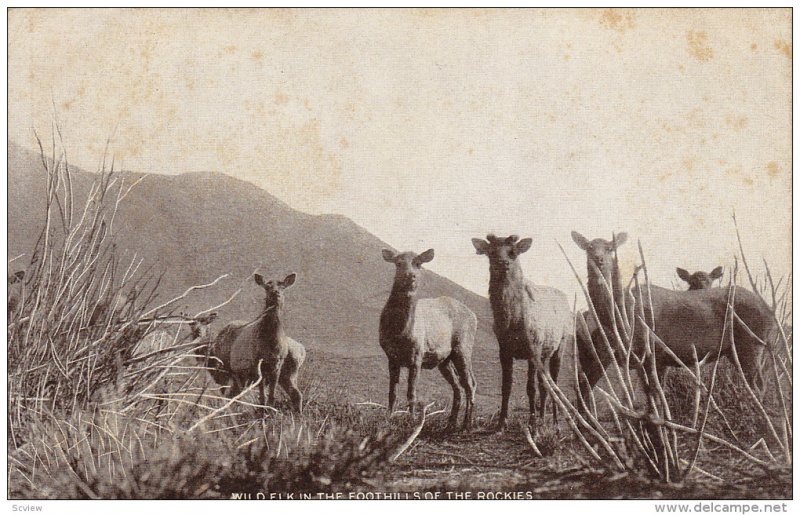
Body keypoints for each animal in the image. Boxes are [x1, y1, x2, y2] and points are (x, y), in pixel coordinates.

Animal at [206, 274, 306, 416]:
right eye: (267, 286)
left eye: (282, 286)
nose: (275, 292)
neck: (271, 343)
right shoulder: (257, 363)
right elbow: (262, 395)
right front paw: (263, 412)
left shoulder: (277, 365)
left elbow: (271, 394)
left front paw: (269, 412)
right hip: (224, 368)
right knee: (228, 393)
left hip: (287, 373)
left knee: (297, 394)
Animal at [380, 249, 478, 432]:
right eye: (398, 263)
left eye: (418, 263)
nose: (411, 276)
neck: (399, 333)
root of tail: (474, 316)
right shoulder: (392, 357)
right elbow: (392, 392)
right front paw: (388, 419)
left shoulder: (417, 356)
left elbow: (411, 392)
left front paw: (411, 421)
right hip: (445, 360)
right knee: (458, 386)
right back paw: (451, 423)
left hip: (463, 347)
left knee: (470, 383)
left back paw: (467, 424)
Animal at [468, 236, 576, 430]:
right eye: (492, 252)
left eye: (513, 252)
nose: (503, 263)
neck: (512, 322)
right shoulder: (504, 350)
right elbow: (506, 386)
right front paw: (502, 422)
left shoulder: (533, 348)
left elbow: (530, 388)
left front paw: (532, 424)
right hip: (543, 354)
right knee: (544, 384)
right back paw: (542, 419)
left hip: (559, 346)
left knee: (554, 383)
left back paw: (554, 423)